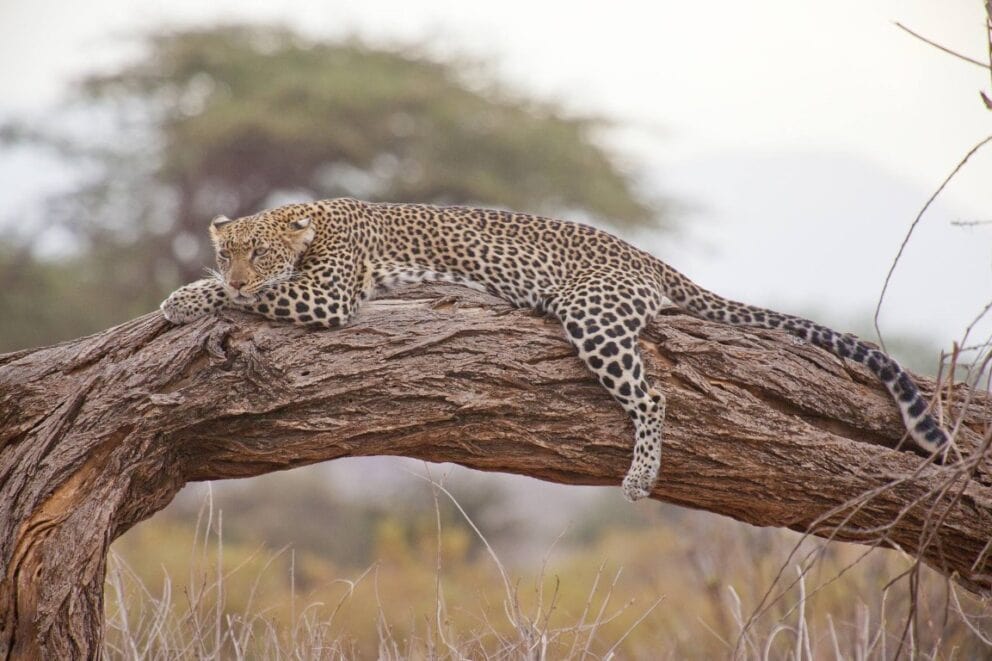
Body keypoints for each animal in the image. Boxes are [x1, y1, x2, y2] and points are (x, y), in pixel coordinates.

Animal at [161, 198, 949, 501]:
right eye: (230, 250)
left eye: (259, 254)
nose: (236, 269)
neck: (313, 222)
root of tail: (649, 259)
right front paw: (186, 291)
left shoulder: (327, 294)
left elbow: (247, 299)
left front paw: (190, 298)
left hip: (591, 314)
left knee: (653, 392)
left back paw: (639, 476)